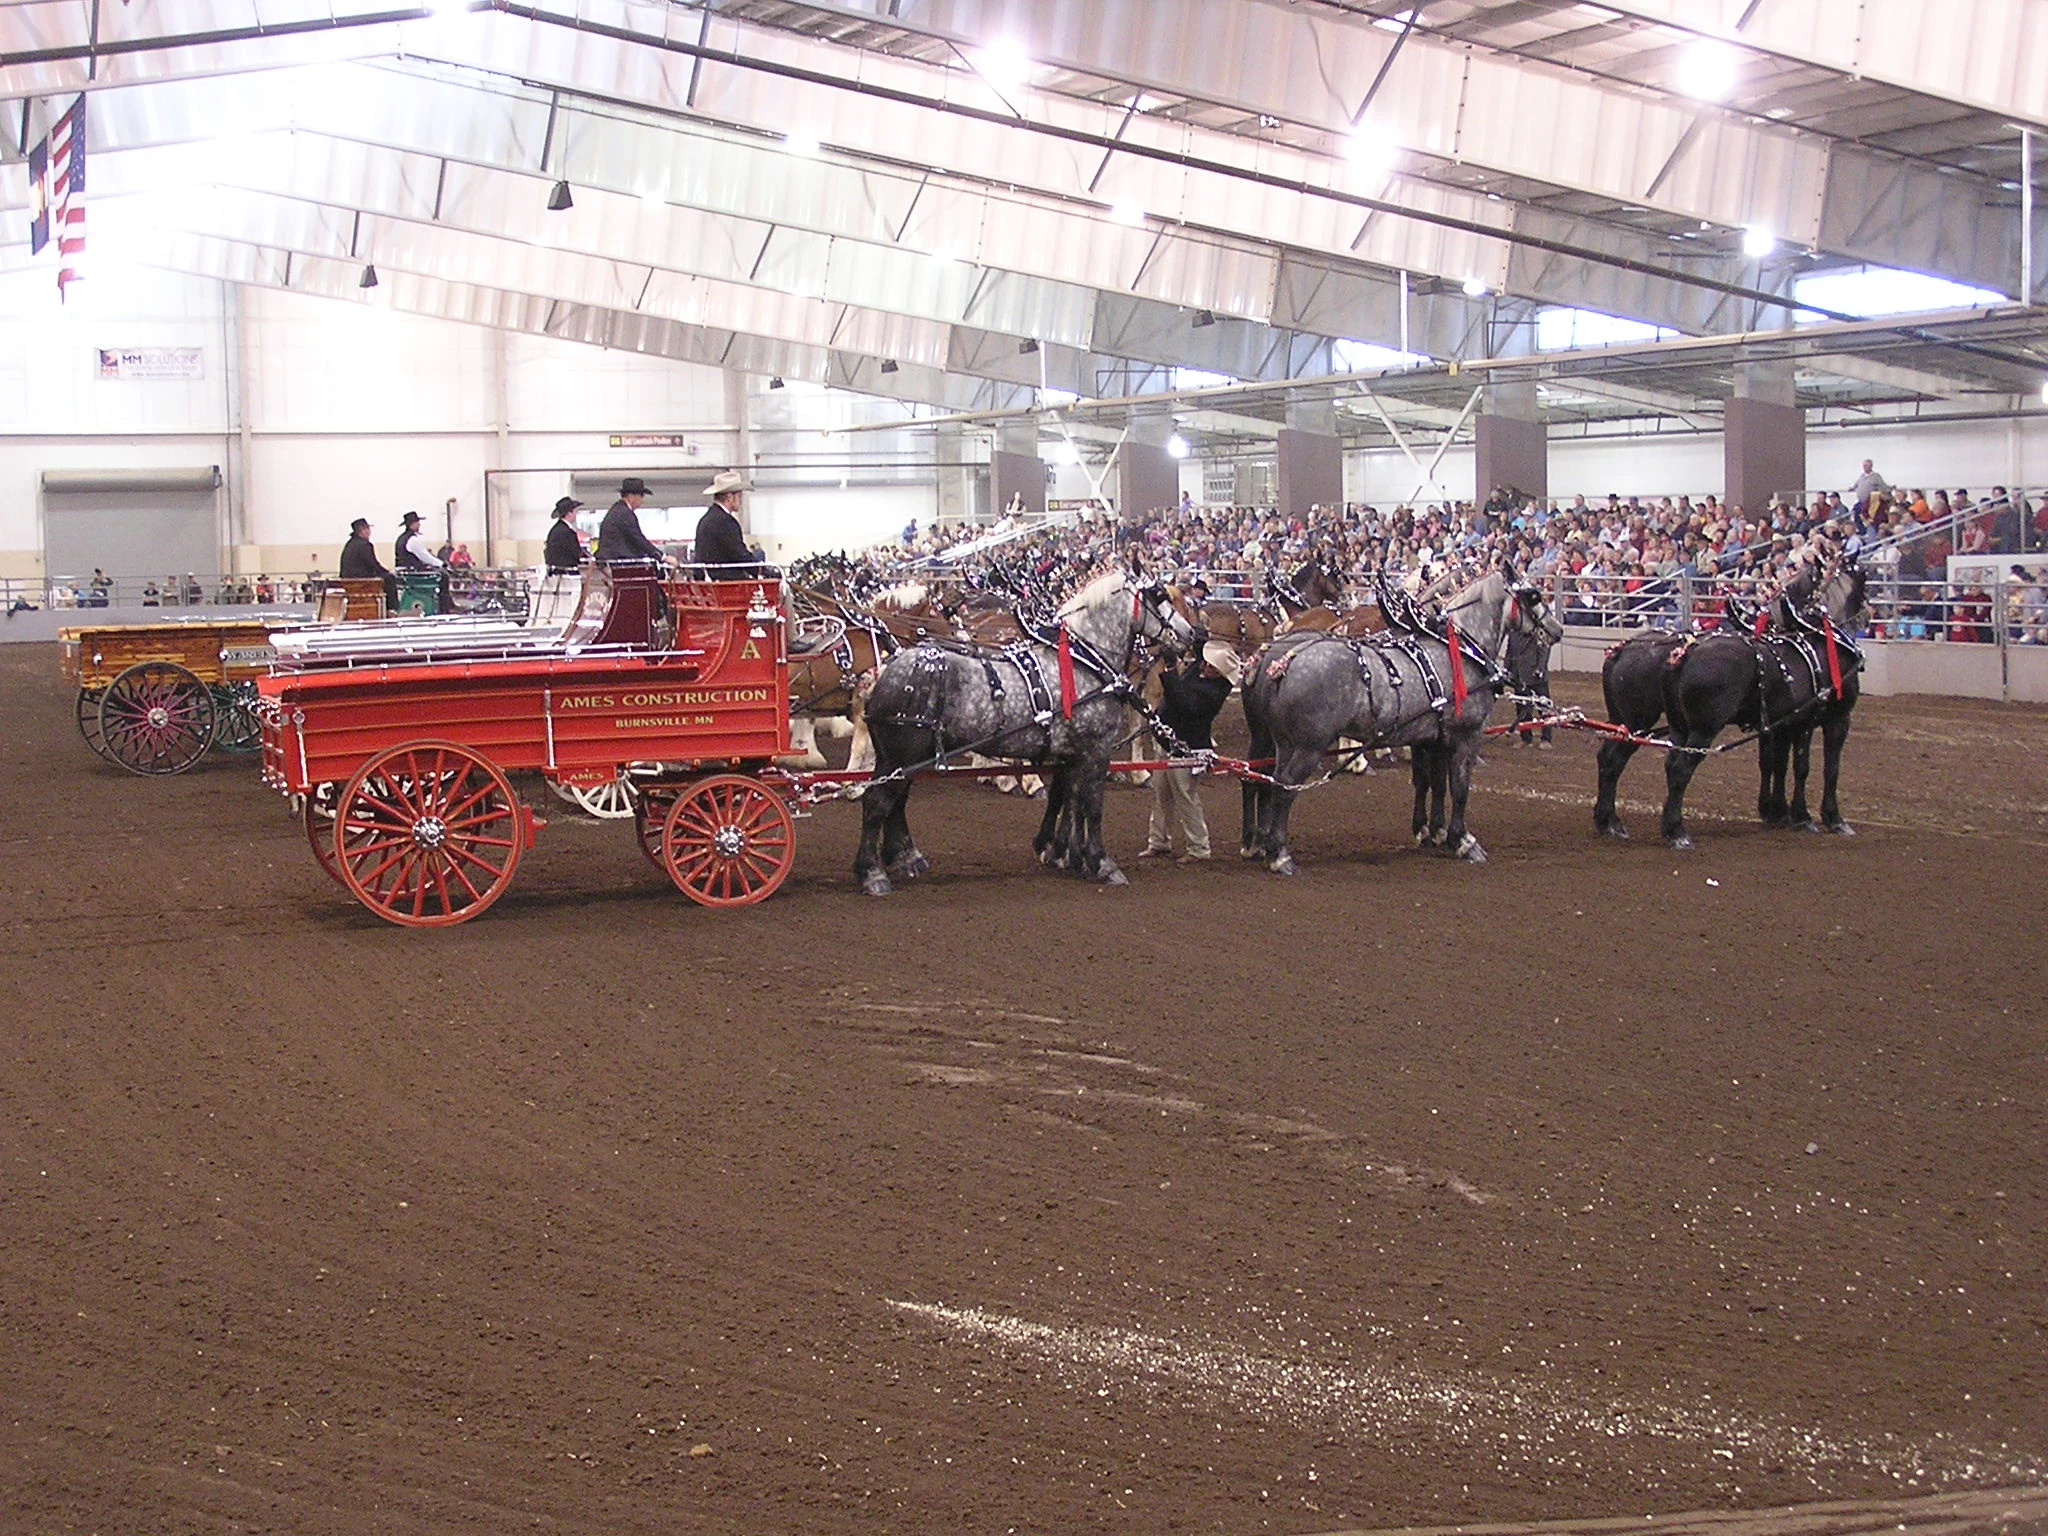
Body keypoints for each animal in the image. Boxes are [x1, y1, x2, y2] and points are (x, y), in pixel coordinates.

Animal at [847, 573, 1196, 888]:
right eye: (1159, 597)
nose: (1192, 633)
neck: (1082, 661)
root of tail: (885, 671)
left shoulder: (1072, 752)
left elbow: (1067, 799)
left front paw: (1064, 853)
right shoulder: (1096, 749)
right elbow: (1092, 805)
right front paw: (1101, 862)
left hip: (900, 757)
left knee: (896, 801)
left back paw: (905, 857)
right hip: (902, 755)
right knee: (878, 802)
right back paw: (872, 873)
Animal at [1228, 569, 1540, 876]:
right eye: (1534, 597)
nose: (1550, 629)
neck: (1455, 648)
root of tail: (1279, 660)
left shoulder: (1431, 737)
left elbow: (1430, 782)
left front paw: (1431, 831)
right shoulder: (1466, 735)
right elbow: (1459, 786)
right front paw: (1462, 840)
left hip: (1274, 738)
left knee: (1260, 778)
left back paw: (1257, 843)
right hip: (1307, 745)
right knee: (1284, 786)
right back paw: (1280, 855)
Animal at [1597, 561, 1875, 847]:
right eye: (1864, 581)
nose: (1867, 616)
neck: (1820, 638)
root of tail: (1683, 653)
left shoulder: (1779, 725)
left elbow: (1775, 765)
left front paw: (1777, 812)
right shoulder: (1828, 720)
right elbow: (1820, 768)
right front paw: (1824, 818)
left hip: (1651, 724)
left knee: (1616, 759)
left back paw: (1610, 822)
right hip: (1687, 727)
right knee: (1677, 768)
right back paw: (1676, 831)